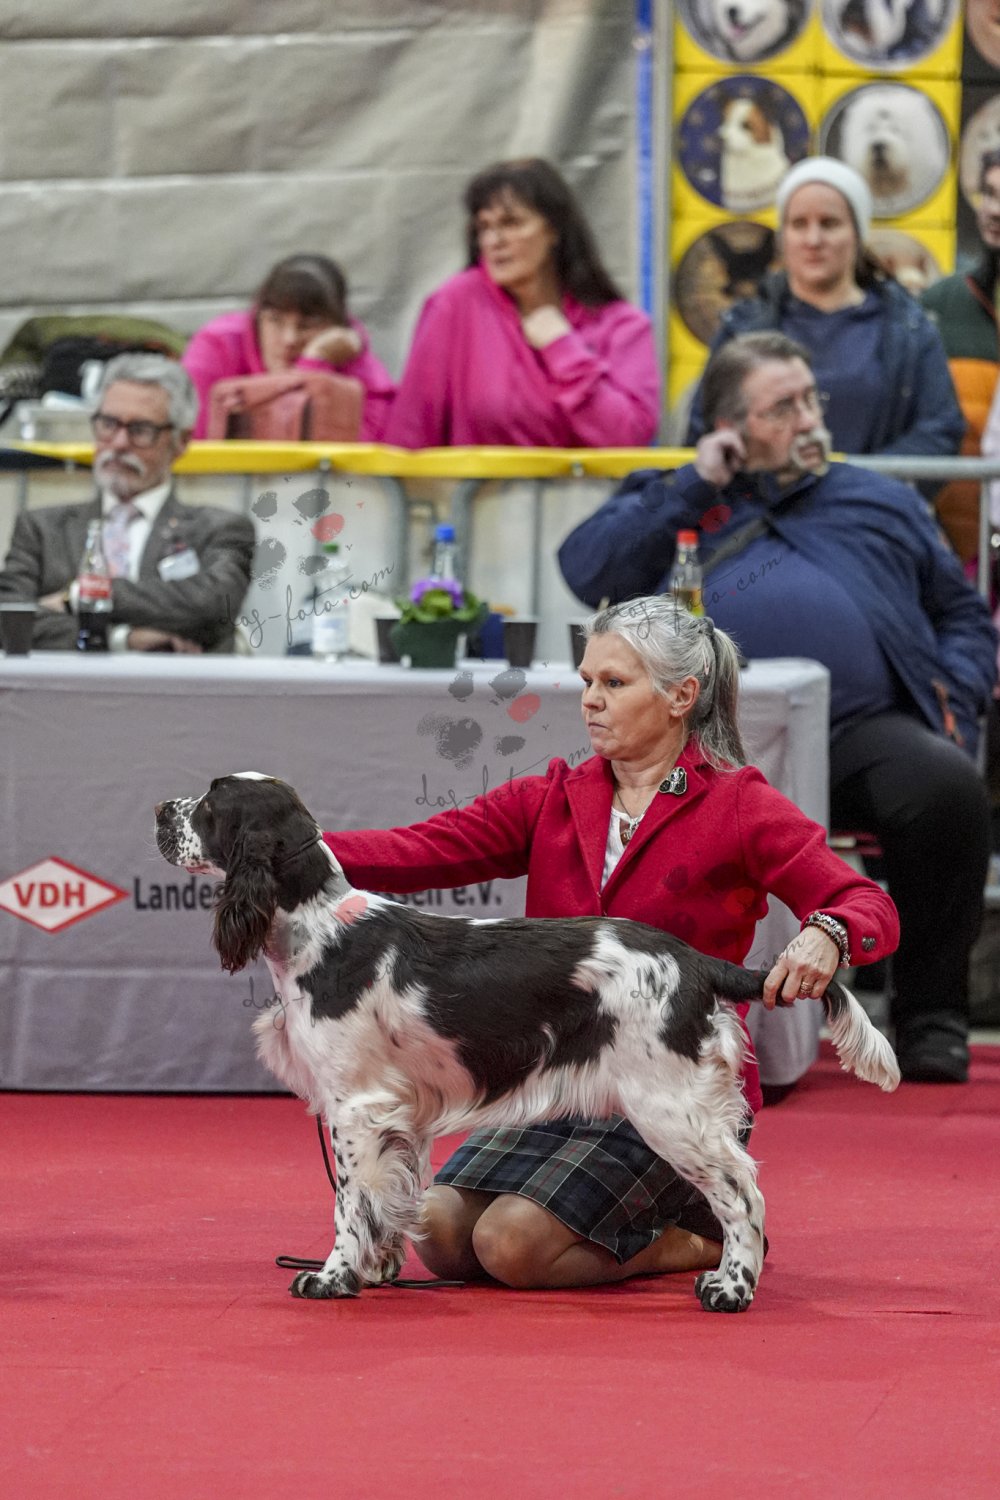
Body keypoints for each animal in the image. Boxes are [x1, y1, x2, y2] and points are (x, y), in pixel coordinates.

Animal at [155, 774, 899, 1312]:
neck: (318, 930)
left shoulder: (355, 1107)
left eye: (213, 804)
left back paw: (731, 1288)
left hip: (669, 1108)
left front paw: (333, 1278)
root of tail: (694, 961)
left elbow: (348, 1204)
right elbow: (390, 1199)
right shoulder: (398, 1115)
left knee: (743, 1192)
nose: (162, 809)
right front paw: (379, 1269)